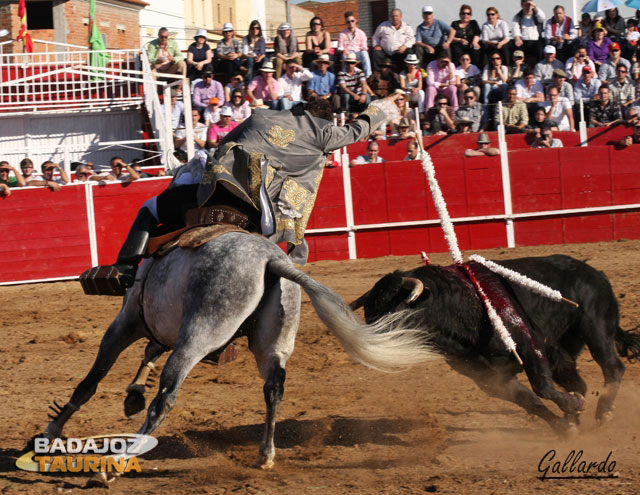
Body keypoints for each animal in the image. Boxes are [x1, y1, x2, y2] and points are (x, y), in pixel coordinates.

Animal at [41, 232, 440, 480]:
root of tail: (271, 260)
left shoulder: (126, 323)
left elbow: (90, 382)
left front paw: (51, 431)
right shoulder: (158, 327)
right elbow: (147, 353)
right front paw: (133, 393)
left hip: (197, 336)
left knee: (166, 398)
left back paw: (117, 462)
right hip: (271, 344)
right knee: (274, 388)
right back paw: (266, 454)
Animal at [350, 256, 640, 434]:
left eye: (393, 312)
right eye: (369, 314)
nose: (367, 345)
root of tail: (595, 273)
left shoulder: (528, 345)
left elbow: (541, 387)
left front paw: (572, 412)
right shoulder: (490, 378)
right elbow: (529, 400)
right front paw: (564, 427)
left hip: (596, 327)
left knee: (612, 367)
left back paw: (603, 413)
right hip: (563, 350)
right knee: (577, 381)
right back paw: (577, 414)